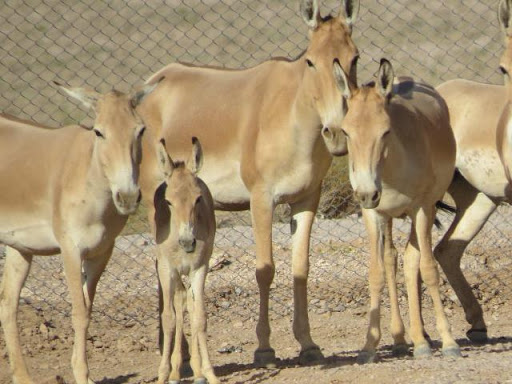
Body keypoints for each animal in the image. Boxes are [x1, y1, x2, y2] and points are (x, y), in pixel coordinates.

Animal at [0, 82, 159, 384]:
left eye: (141, 130)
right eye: (98, 131)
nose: (128, 197)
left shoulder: (101, 252)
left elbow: (88, 310)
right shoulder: (70, 250)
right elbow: (78, 313)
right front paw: (82, 375)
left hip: (20, 248)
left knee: (8, 305)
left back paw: (23, 376)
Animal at [144, 139, 218, 384]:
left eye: (198, 198)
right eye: (168, 201)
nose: (187, 242)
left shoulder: (200, 268)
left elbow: (200, 317)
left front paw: (208, 372)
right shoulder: (167, 269)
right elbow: (168, 318)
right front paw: (164, 374)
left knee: (190, 304)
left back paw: (196, 370)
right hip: (170, 272)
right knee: (178, 300)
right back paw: (176, 371)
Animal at [332, 58, 460, 362]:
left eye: (386, 131)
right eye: (346, 131)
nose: (368, 193)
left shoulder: (422, 209)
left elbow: (428, 269)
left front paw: (449, 342)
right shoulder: (373, 215)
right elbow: (376, 272)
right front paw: (369, 347)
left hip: (423, 212)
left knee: (413, 260)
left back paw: (422, 340)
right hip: (388, 218)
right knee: (392, 259)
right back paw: (403, 339)